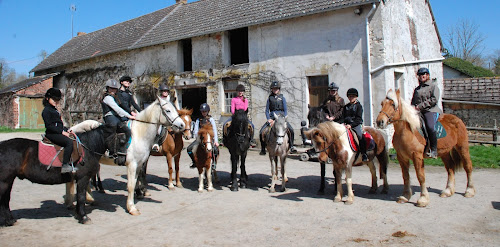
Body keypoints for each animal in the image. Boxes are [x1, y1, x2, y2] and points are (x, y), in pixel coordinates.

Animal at [0, 121, 128, 226]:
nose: (122, 161)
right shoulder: (83, 178)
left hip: (9, 180)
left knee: (6, 199)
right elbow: (81, 197)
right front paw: (84, 217)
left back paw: (10, 220)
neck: (87, 149)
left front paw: (79, 214)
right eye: (122, 141)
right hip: (5, 181)